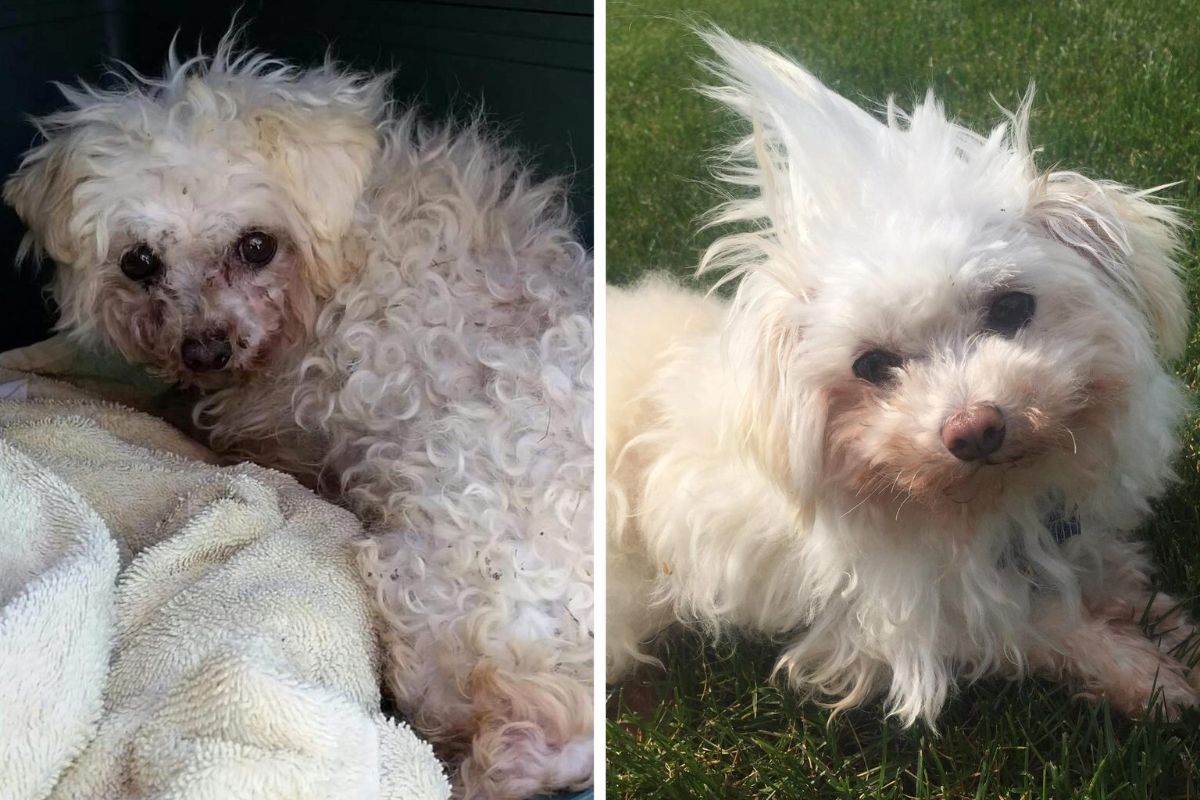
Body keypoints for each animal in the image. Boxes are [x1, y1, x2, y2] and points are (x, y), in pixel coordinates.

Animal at [609, 31, 1200, 729]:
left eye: (1011, 307)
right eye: (871, 365)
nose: (974, 430)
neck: (991, 502)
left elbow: (1107, 570)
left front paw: (1164, 620)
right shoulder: (920, 618)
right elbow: (1049, 628)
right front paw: (1148, 676)